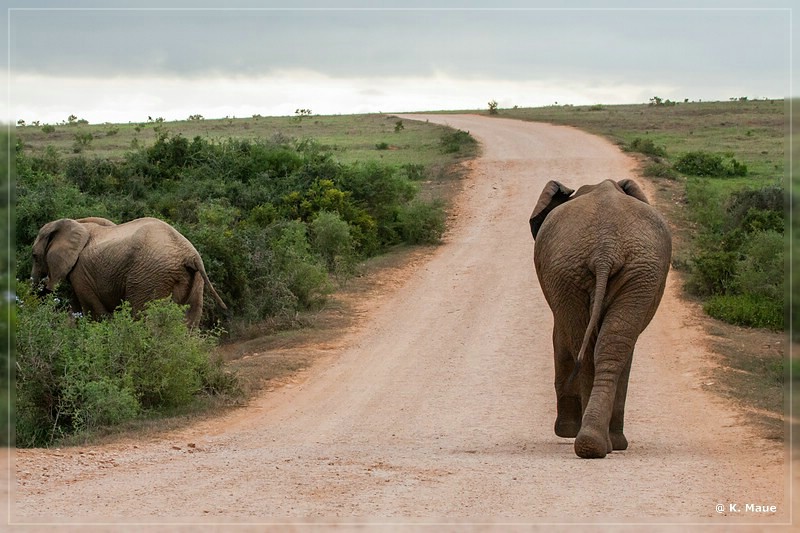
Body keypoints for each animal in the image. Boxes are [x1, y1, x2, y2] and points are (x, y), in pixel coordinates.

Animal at [31, 215, 225, 324]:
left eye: (34, 256)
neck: (78, 223)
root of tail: (190, 256)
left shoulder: (81, 272)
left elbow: (94, 312)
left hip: (149, 277)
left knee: (143, 318)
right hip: (194, 280)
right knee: (190, 321)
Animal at [528, 180, 672, 458]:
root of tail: (605, 250)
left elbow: (562, 340)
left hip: (624, 273)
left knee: (598, 347)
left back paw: (593, 443)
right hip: (596, 273)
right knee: (603, 347)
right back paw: (597, 443)